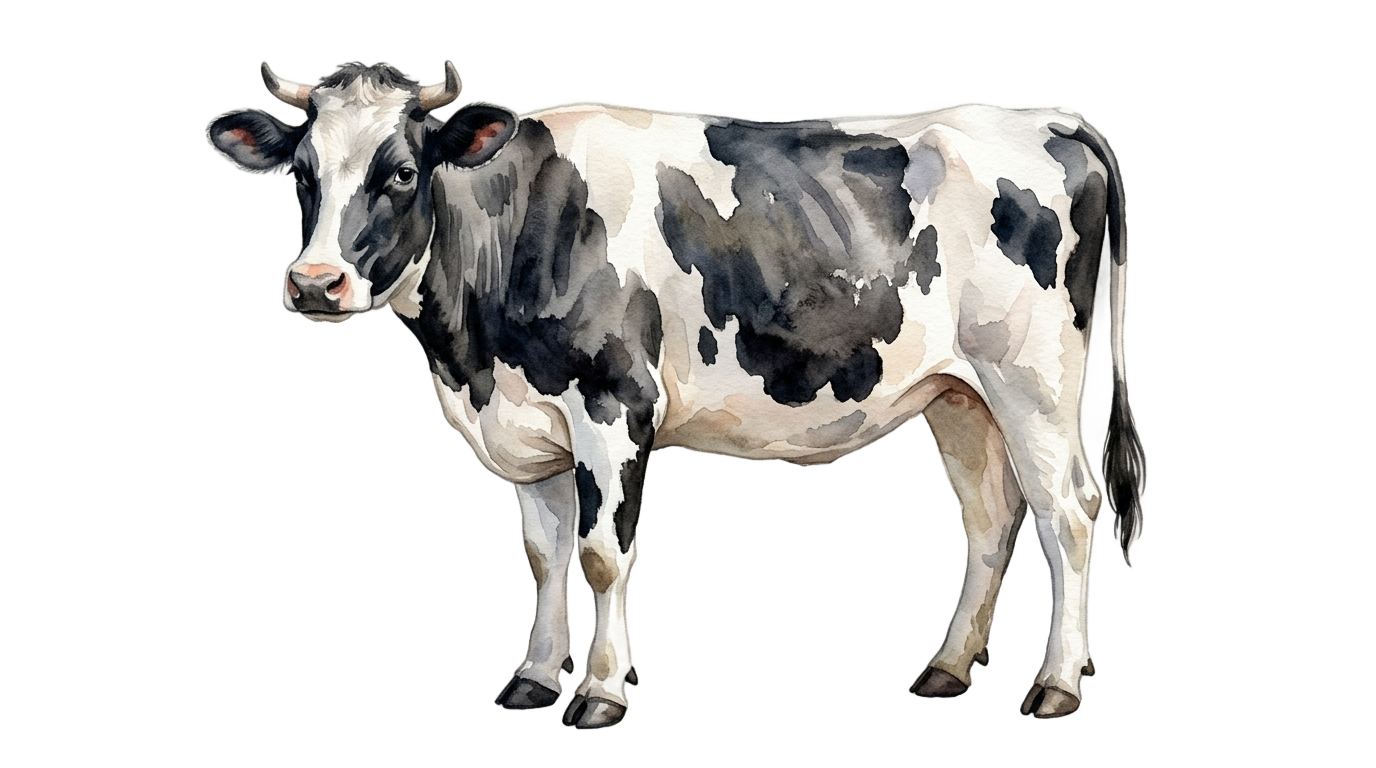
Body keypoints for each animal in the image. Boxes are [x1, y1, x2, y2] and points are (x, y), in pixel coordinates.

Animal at [208, 60, 1144, 729]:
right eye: (301, 173)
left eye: (402, 172)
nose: (314, 283)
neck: (471, 355)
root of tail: (1049, 120)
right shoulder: (527, 424)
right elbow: (543, 557)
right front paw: (534, 679)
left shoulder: (615, 405)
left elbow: (600, 555)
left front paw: (601, 694)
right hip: (960, 392)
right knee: (991, 514)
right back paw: (948, 668)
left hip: (1034, 376)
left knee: (1067, 513)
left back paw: (1057, 685)